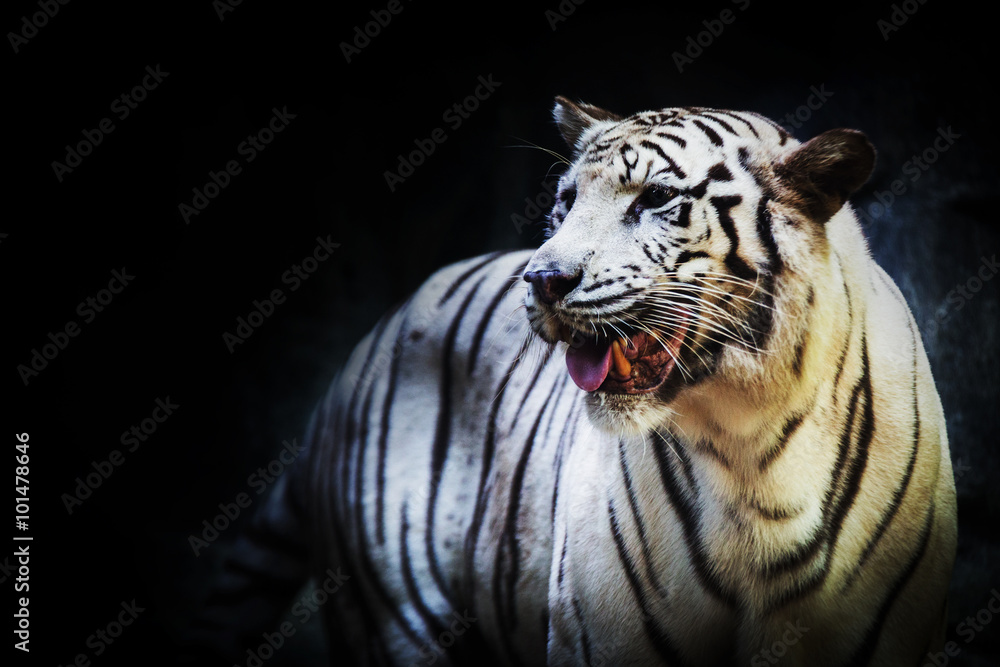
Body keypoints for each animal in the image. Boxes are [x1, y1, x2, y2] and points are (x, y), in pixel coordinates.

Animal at [188, 98, 957, 667]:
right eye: (564, 202)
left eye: (656, 198)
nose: (543, 279)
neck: (752, 449)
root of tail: (365, 346)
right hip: (392, 612)